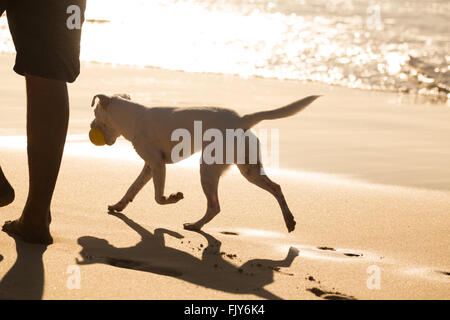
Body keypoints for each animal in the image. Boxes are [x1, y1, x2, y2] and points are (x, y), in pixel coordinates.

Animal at [89, 94, 318, 231]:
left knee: (214, 206)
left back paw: (194, 225)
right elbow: (132, 189)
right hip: (248, 169)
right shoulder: (149, 167)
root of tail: (241, 119)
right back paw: (289, 220)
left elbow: (158, 198)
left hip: (208, 169)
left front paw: (173, 197)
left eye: (95, 113)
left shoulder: (157, 165)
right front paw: (118, 205)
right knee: (276, 187)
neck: (131, 117)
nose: (90, 126)